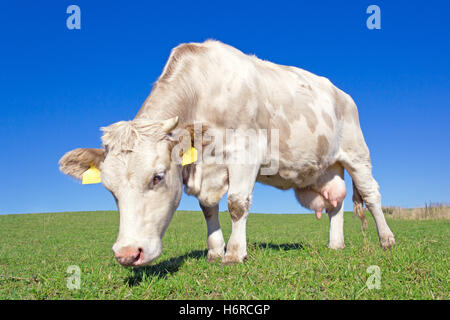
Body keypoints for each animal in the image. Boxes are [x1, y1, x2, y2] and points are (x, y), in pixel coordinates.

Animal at [59, 40, 394, 268]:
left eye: (157, 177)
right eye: (109, 189)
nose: (127, 254)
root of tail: (341, 93)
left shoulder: (246, 150)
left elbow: (236, 203)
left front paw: (234, 253)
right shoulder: (206, 169)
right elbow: (208, 208)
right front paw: (213, 250)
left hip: (357, 154)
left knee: (372, 195)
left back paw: (386, 239)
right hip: (326, 168)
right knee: (336, 203)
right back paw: (336, 245)